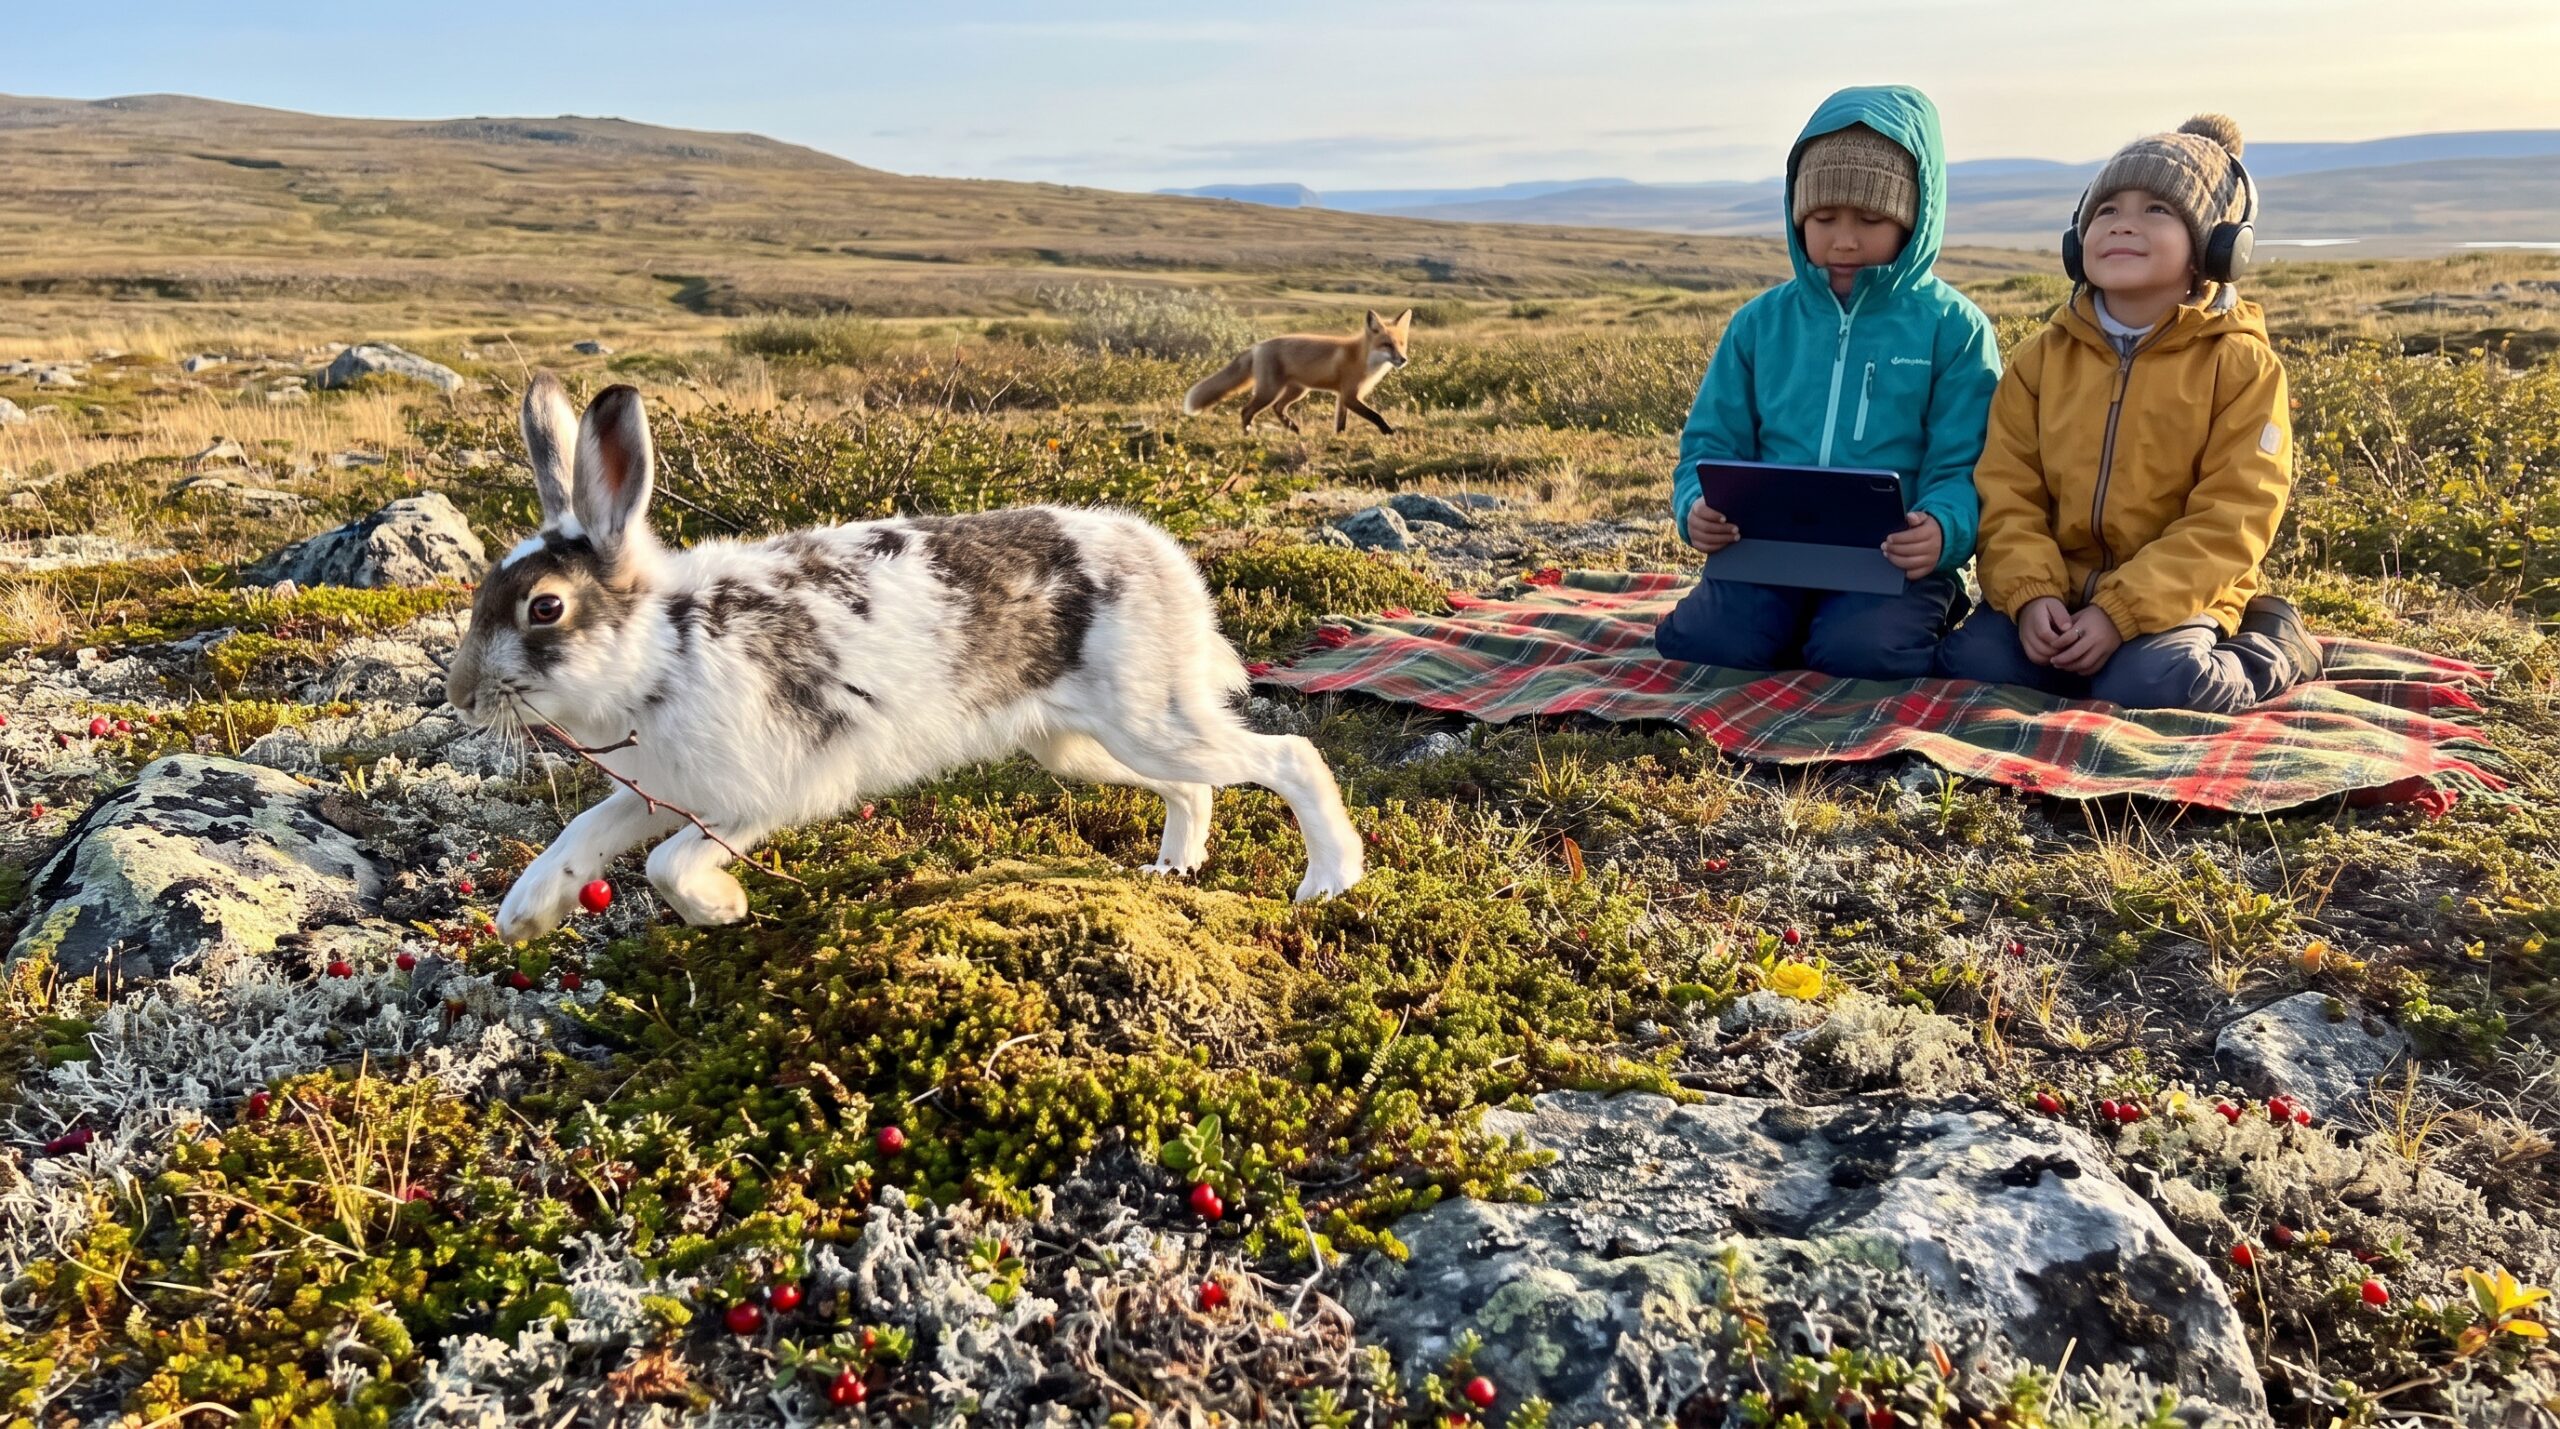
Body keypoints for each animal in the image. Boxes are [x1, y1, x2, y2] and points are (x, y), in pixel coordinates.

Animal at [444, 373, 1364, 944]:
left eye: (545, 607)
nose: (460, 695)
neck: (665, 646)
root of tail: (1166, 561)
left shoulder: (757, 795)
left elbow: (669, 864)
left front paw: (724, 908)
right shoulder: (658, 791)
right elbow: (583, 831)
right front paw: (526, 914)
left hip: (1151, 718)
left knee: (1290, 756)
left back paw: (1329, 880)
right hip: (1080, 746)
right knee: (1192, 788)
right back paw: (1171, 867)